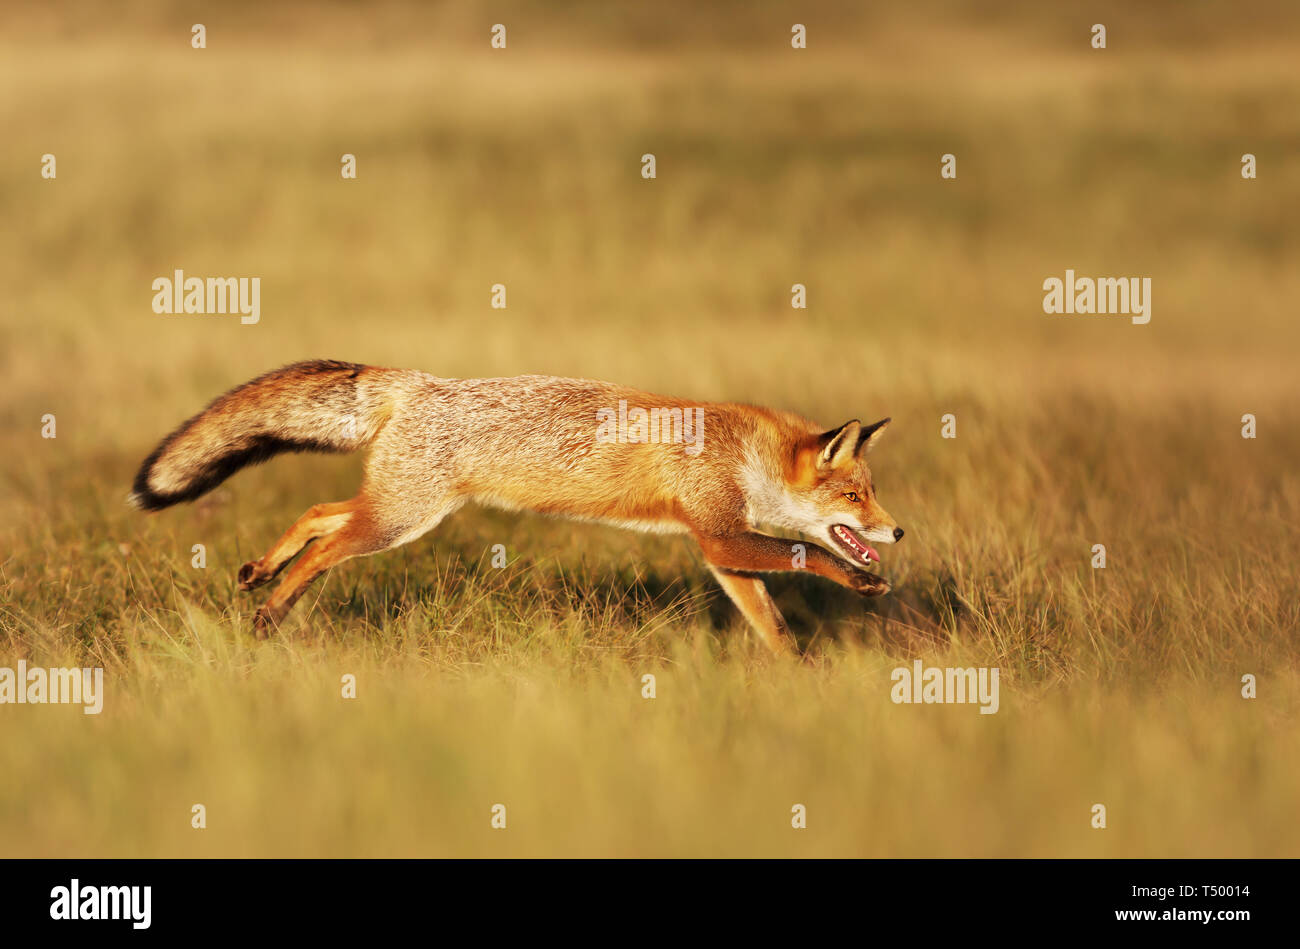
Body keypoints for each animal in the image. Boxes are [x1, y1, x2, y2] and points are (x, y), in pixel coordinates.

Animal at [129, 359, 904, 654]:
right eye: (855, 496)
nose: (896, 529)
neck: (742, 451)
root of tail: (417, 381)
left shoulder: (721, 549)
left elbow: (773, 626)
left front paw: (799, 684)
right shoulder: (718, 536)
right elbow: (806, 554)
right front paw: (863, 579)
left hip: (395, 509)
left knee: (319, 512)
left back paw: (260, 573)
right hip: (399, 521)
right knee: (325, 546)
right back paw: (273, 606)